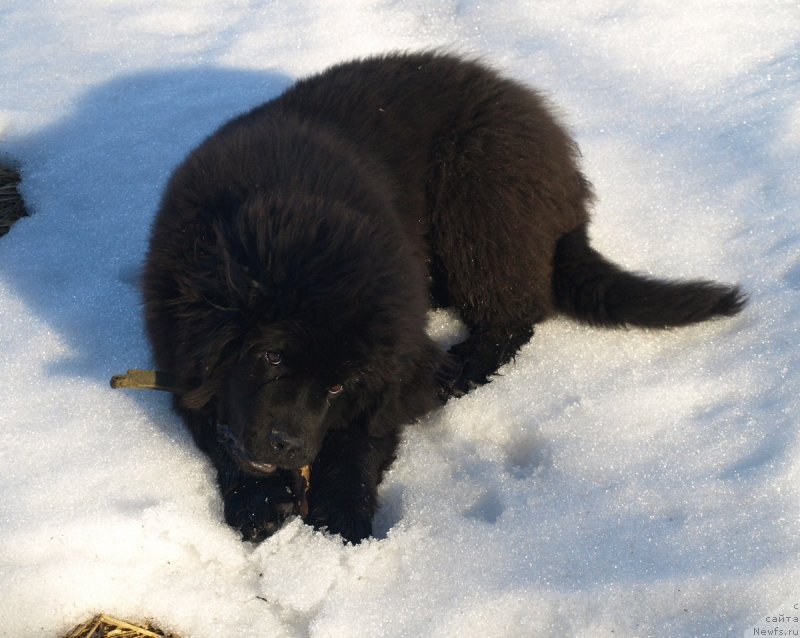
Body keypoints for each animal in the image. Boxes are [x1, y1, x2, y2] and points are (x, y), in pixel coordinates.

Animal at [141, 53, 748, 544]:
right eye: (269, 357)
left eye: (337, 386)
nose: (287, 444)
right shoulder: (180, 355)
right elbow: (215, 426)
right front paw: (260, 504)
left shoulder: (386, 372)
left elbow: (360, 441)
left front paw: (341, 519)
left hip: (480, 201)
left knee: (515, 313)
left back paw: (463, 369)